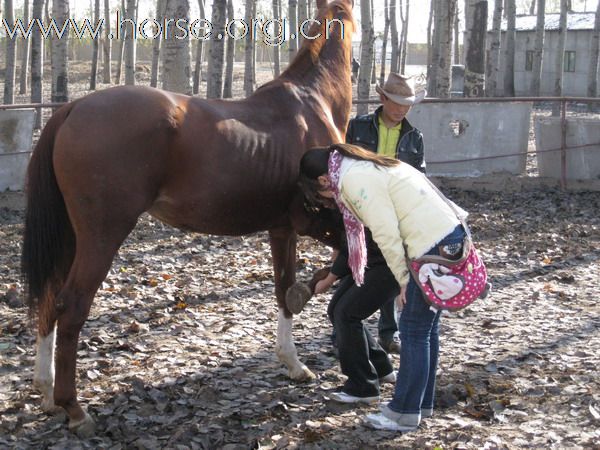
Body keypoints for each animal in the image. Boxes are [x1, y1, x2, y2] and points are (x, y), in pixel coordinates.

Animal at [21, 0, 354, 436]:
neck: (311, 102)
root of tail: (73, 107)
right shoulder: (318, 221)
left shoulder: (282, 228)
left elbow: (284, 289)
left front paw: (293, 363)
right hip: (100, 237)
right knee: (71, 305)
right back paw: (74, 408)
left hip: (71, 238)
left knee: (48, 299)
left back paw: (45, 393)